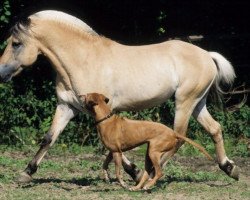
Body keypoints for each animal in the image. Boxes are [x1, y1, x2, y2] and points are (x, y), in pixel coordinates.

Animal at [80, 93, 213, 190]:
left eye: (86, 96)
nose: (79, 95)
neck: (105, 119)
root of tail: (173, 133)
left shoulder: (117, 152)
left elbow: (118, 172)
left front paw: (122, 184)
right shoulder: (112, 151)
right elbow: (104, 165)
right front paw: (107, 177)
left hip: (153, 152)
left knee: (159, 173)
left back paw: (147, 186)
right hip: (148, 155)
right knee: (147, 173)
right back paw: (137, 187)